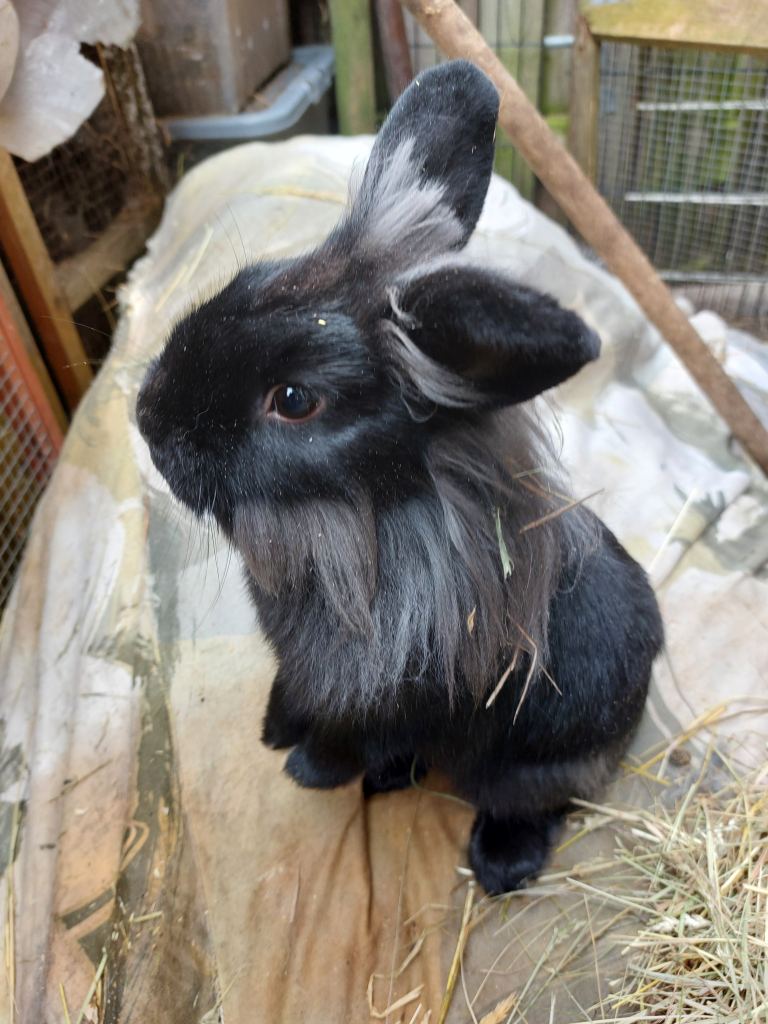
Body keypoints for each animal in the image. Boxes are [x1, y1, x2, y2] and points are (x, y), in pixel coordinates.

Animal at [136, 60, 663, 895]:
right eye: (250, 280)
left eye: (294, 399)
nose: (148, 417)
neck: (345, 526)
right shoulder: (307, 669)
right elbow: (295, 692)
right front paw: (272, 725)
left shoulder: (377, 705)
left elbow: (344, 741)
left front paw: (306, 769)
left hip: (537, 766)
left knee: (538, 801)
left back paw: (498, 862)